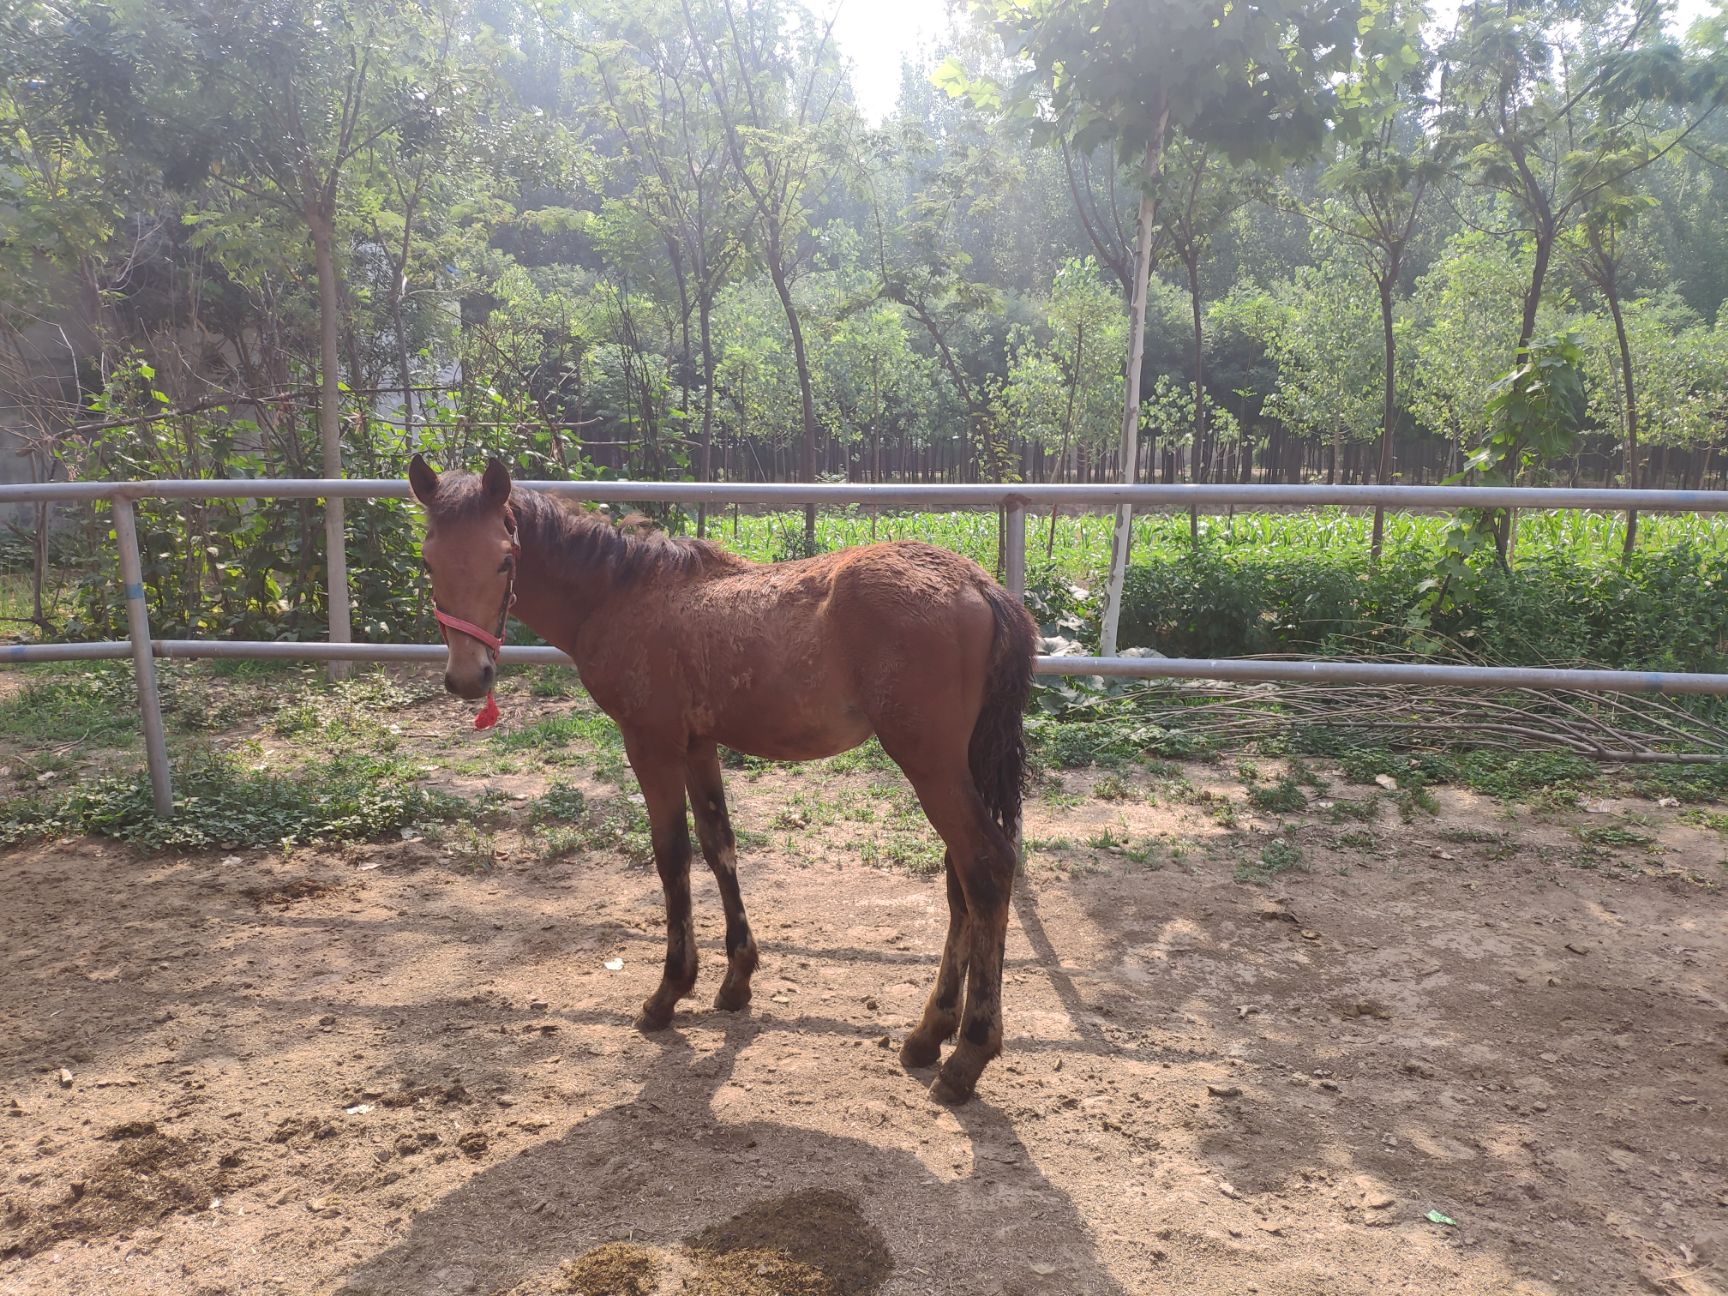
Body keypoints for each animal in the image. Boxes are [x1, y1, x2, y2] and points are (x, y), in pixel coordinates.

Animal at [411, 456, 1029, 1105]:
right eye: (428, 560)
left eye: (505, 559)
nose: (468, 678)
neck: (622, 593)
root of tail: (978, 584)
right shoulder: (698, 744)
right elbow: (718, 845)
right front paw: (736, 980)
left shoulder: (650, 743)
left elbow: (672, 855)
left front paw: (669, 991)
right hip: (957, 765)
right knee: (961, 883)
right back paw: (928, 1034)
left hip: (929, 763)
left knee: (986, 867)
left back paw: (967, 1054)